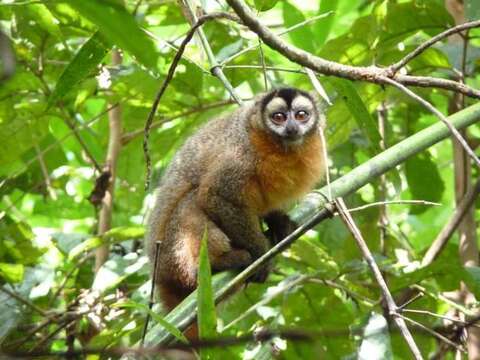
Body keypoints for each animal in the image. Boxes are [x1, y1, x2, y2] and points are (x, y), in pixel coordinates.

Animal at [146, 88, 326, 324]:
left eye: (301, 115)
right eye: (278, 117)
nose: (292, 127)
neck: (276, 146)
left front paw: (280, 224)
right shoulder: (240, 156)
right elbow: (216, 196)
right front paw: (260, 254)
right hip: (170, 256)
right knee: (191, 202)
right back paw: (215, 264)